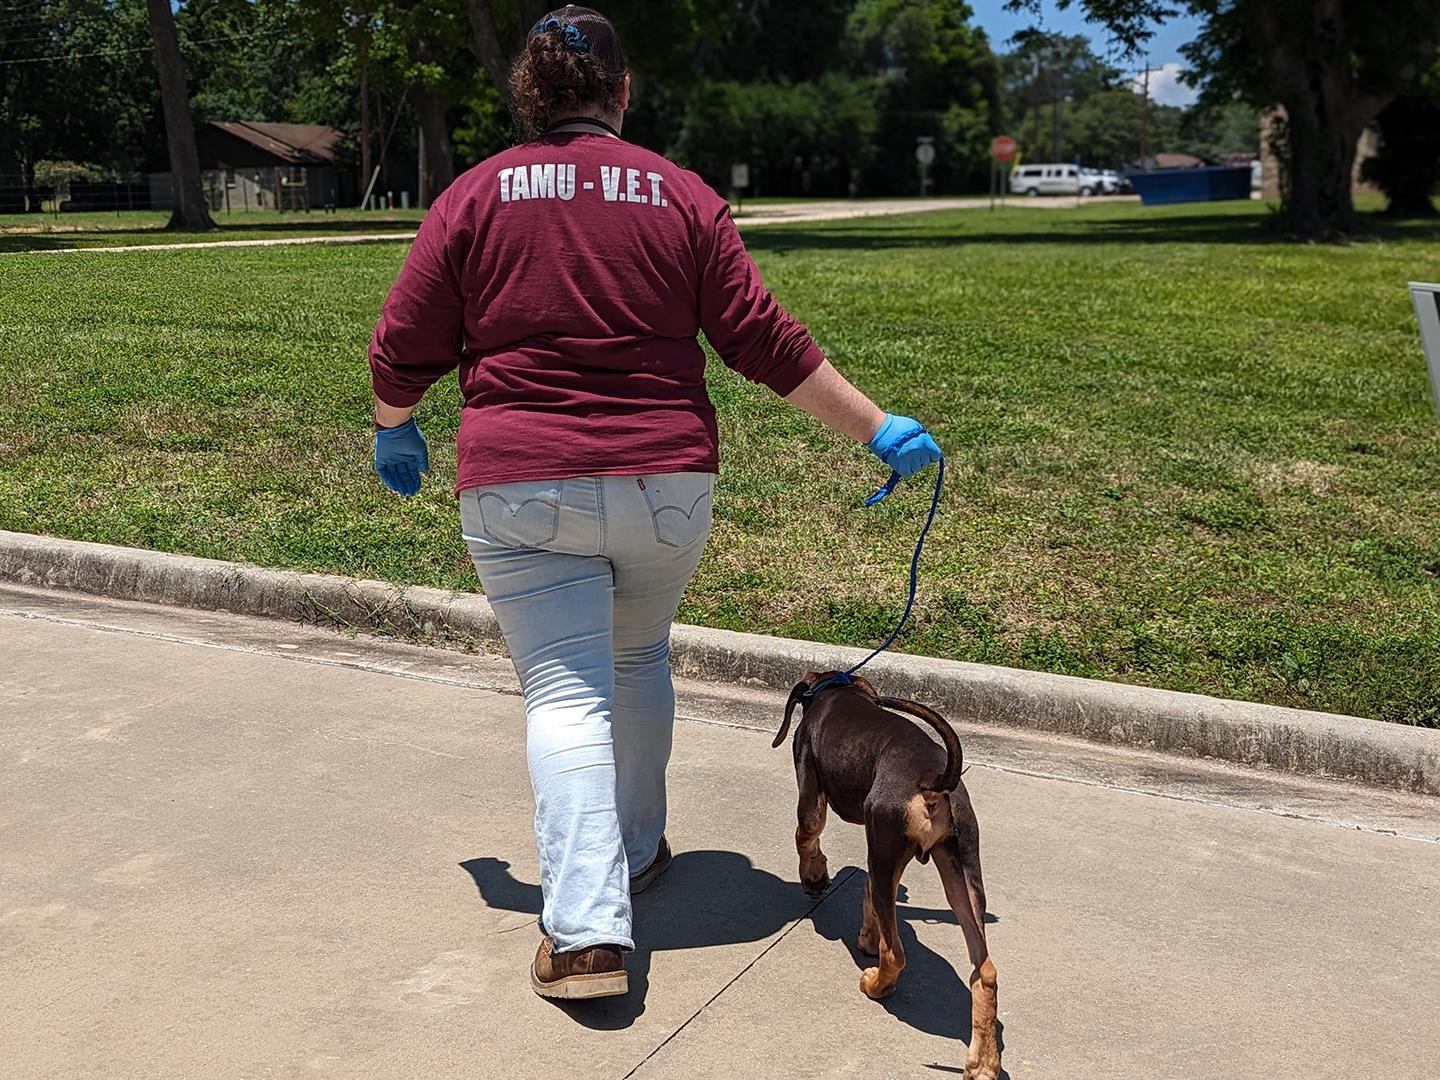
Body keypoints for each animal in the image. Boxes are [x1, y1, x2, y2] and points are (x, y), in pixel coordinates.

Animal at [777, 673, 1002, 1077]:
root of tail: (932, 779)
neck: (837, 689)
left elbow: (806, 837)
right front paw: (868, 935)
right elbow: (867, 892)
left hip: (886, 842)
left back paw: (876, 984)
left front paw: (815, 878)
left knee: (896, 952)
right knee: (985, 972)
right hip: (960, 867)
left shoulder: (811, 792)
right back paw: (982, 1064)